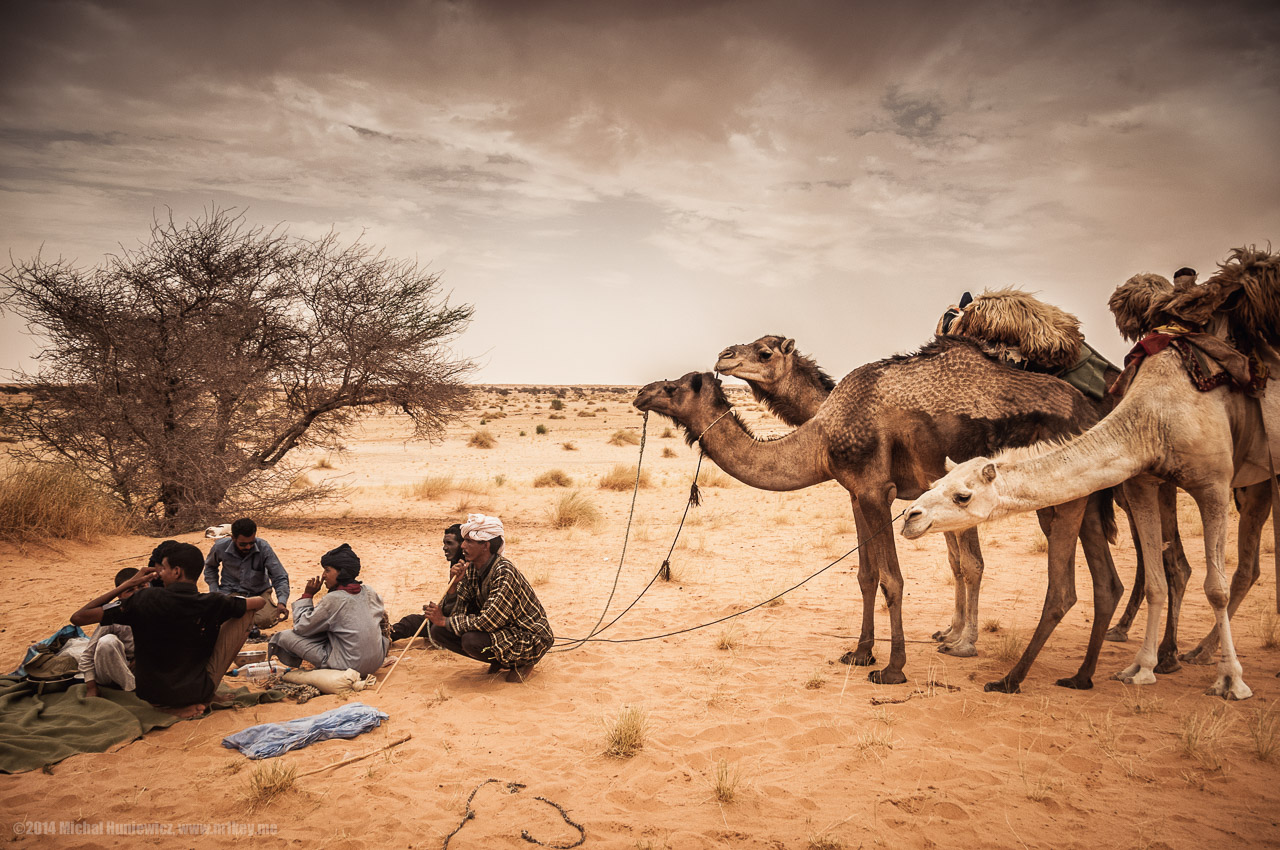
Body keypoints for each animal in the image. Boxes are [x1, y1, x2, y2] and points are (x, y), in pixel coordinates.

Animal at [634, 336, 1123, 691]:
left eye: (674, 387)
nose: (641, 392)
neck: (821, 431)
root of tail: (1089, 408)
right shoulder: (856, 492)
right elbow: (866, 576)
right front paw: (860, 652)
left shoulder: (876, 490)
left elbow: (893, 578)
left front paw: (893, 668)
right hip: (1083, 492)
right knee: (1106, 581)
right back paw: (1081, 675)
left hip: (1060, 493)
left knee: (1062, 588)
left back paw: (1010, 679)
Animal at [901, 249, 1280, 700]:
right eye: (936, 485)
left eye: (963, 495)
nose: (911, 516)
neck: (1152, 415)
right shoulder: (1140, 482)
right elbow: (1153, 577)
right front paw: (1139, 668)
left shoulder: (1211, 484)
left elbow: (1211, 587)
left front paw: (1231, 681)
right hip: (1235, 487)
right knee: (1191, 568)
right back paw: (1171, 649)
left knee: (1197, 569)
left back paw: (1182, 655)